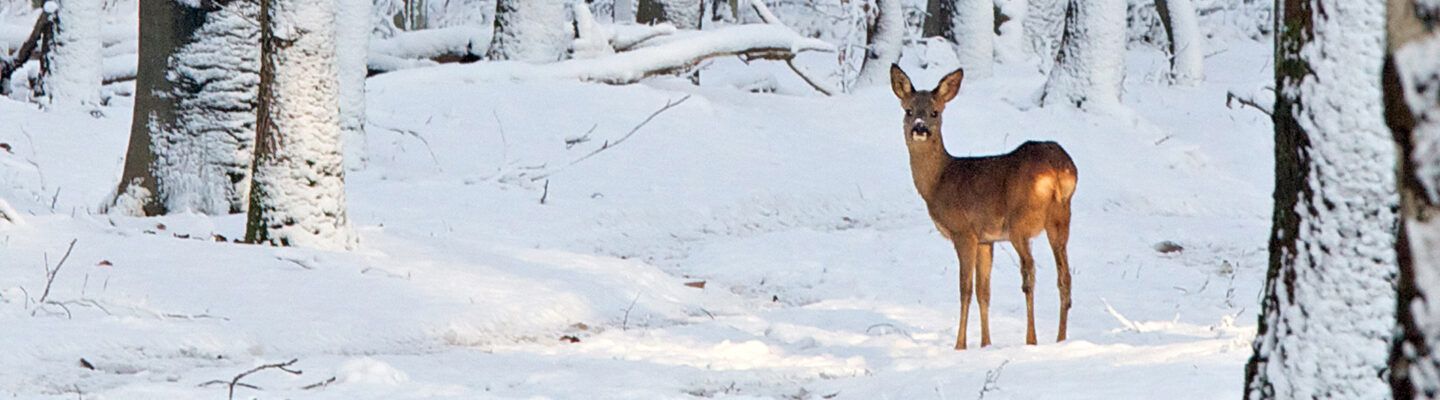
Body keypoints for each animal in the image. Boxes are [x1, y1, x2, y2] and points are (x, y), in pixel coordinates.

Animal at [888, 65, 1078, 350]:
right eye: (909, 110)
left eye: (935, 112)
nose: (920, 128)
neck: (938, 182)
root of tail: (1059, 169)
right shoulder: (986, 239)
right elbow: (984, 291)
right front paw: (985, 344)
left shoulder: (963, 231)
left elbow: (965, 289)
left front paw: (960, 345)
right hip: (1060, 218)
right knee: (1064, 276)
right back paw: (1061, 339)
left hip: (1019, 223)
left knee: (1029, 274)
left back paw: (1031, 339)